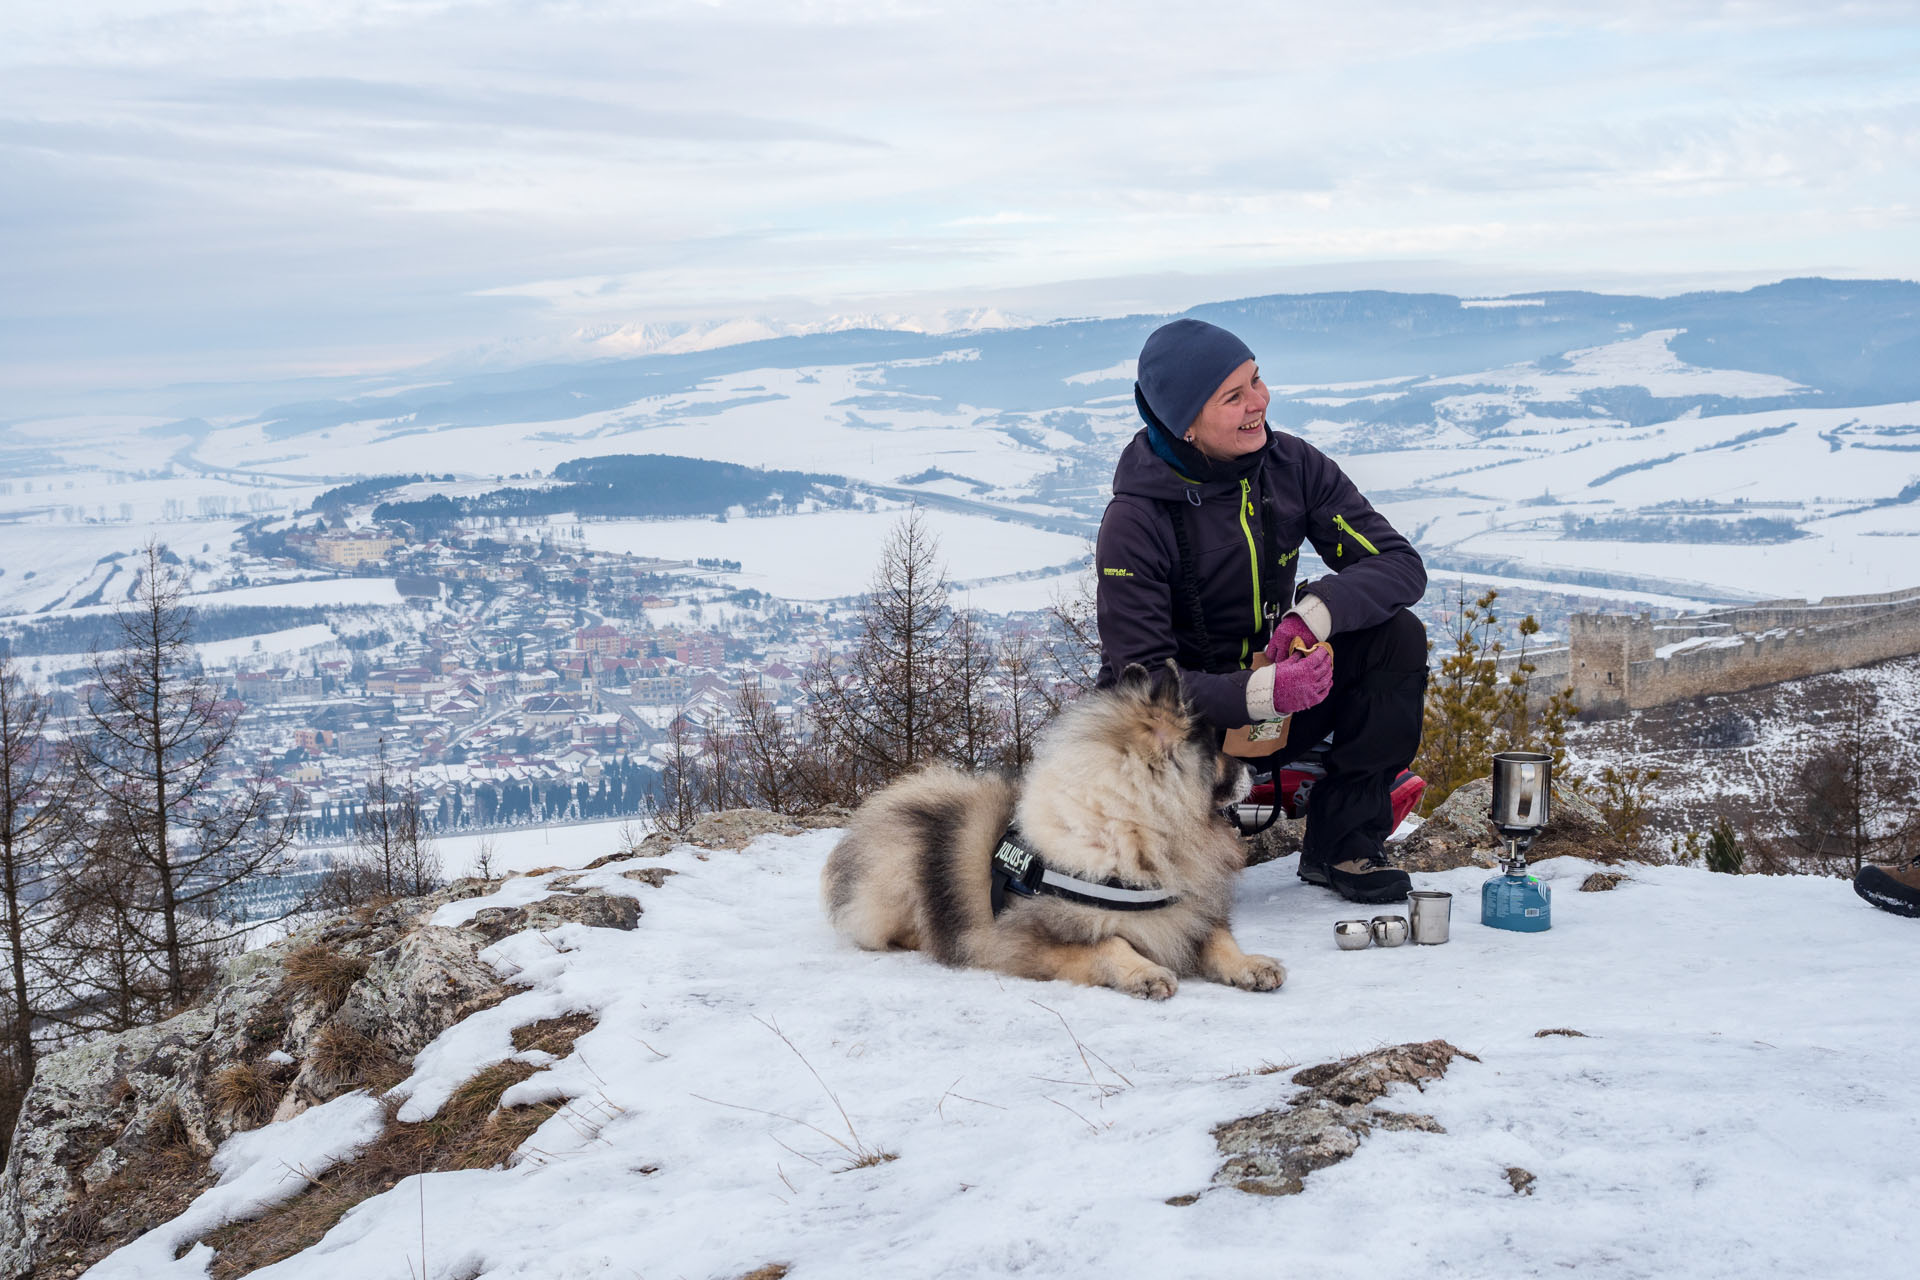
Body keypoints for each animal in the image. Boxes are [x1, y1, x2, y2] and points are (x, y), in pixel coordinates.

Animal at [817, 667, 1282, 1005]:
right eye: (1215, 750)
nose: (1254, 770)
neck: (1131, 829)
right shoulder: (1024, 940)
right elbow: (1109, 944)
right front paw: (1144, 973)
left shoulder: (1191, 914)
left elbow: (1220, 941)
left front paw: (1252, 965)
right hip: (896, 883)